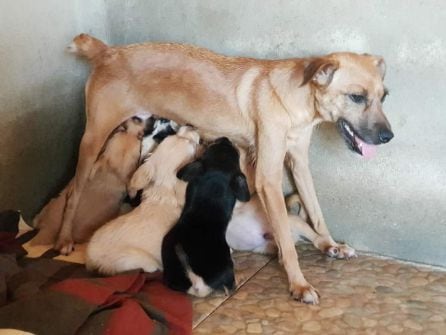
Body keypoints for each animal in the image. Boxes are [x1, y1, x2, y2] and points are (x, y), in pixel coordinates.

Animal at [31, 118, 146, 247]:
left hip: (52, 202)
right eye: (123, 129)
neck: (111, 172)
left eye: (139, 136)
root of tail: (48, 230)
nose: (137, 119)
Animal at [161, 138, 253, 298]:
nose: (225, 138)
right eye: (236, 153)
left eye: (211, 147)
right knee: (230, 286)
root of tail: (196, 280)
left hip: (172, 278)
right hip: (227, 270)